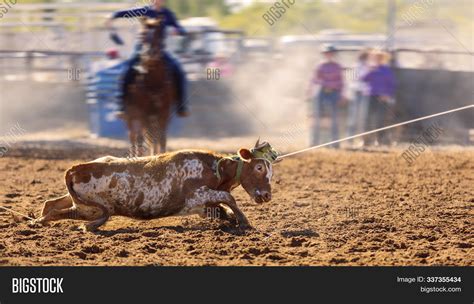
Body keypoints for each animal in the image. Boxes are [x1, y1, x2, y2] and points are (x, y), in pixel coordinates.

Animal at [33, 144, 276, 232]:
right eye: (258, 168)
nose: (266, 195)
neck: (215, 168)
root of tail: (74, 169)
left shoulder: (203, 205)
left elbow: (221, 208)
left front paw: (230, 219)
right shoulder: (195, 197)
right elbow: (228, 197)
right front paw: (243, 221)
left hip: (78, 203)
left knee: (50, 203)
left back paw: (37, 220)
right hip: (90, 209)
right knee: (55, 212)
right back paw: (40, 222)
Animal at [124, 17, 178, 157]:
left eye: (159, 34)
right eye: (142, 35)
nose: (150, 53)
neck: (154, 81)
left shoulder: (164, 111)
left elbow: (161, 136)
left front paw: (160, 155)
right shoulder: (143, 112)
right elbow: (143, 137)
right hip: (131, 115)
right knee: (133, 135)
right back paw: (134, 155)